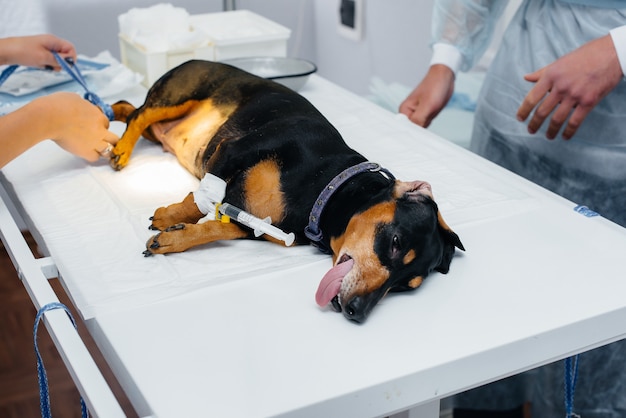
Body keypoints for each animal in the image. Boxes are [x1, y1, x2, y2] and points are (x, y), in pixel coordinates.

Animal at [109, 59, 464, 324]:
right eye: (395, 242)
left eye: (405, 286)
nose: (357, 312)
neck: (321, 186)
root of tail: (196, 58)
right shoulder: (233, 149)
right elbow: (202, 201)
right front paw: (171, 216)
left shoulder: (250, 222)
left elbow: (213, 228)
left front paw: (174, 237)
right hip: (176, 96)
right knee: (139, 113)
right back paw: (122, 150)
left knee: (129, 109)